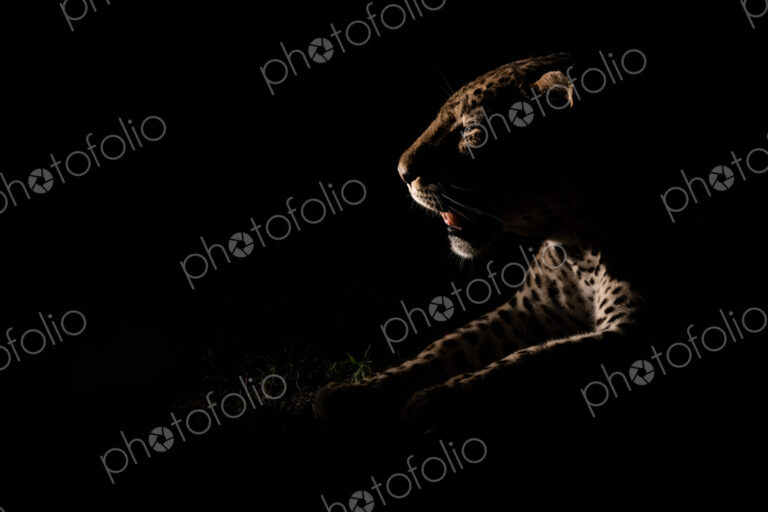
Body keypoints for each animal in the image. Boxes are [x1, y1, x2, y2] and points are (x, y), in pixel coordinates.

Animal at [313, 52, 662, 432]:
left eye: (472, 133)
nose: (401, 174)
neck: (577, 247)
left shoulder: (634, 330)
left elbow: (533, 360)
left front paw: (435, 399)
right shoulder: (527, 311)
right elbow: (446, 347)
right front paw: (353, 391)